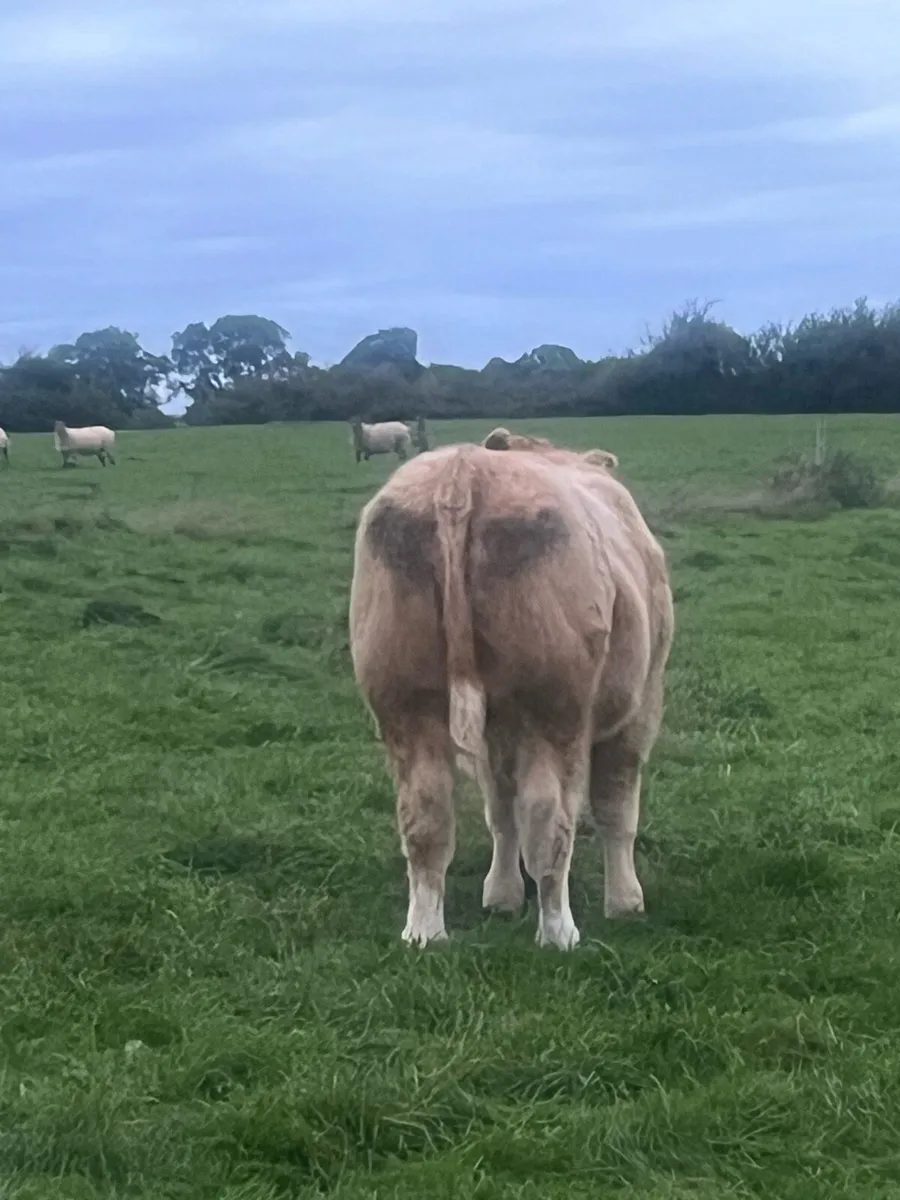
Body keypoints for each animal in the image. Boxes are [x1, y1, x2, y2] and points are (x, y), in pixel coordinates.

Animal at [349, 433, 673, 950]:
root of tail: (462, 471)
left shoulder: (494, 734)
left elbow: (501, 810)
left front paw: (500, 896)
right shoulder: (640, 709)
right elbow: (617, 806)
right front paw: (626, 902)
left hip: (404, 703)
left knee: (425, 817)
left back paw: (425, 933)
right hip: (553, 711)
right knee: (548, 818)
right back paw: (559, 933)